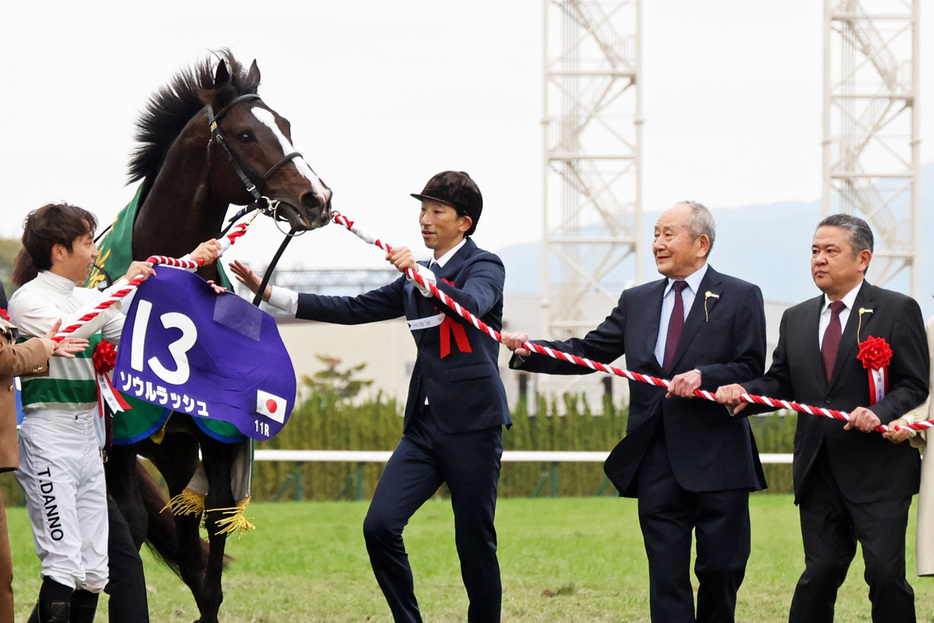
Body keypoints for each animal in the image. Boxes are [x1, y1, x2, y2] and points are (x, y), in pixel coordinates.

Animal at [99, 50, 330, 623]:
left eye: (285, 124)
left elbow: (213, 540)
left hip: (176, 451)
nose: (317, 197)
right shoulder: (119, 441)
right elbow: (126, 530)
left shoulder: (215, 439)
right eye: (246, 134)